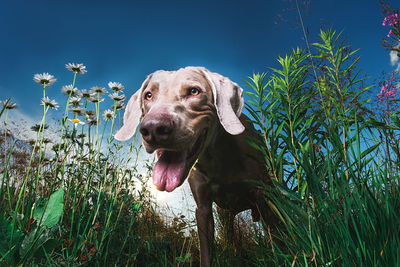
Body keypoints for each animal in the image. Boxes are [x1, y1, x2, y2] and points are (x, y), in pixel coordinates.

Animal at [115, 67, 276, 267]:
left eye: (194, 91)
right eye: (149, 95)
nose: (153, 129)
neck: (217, 158)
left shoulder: (263, 198)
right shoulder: (203, 208)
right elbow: (206, 251)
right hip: (226, 216)